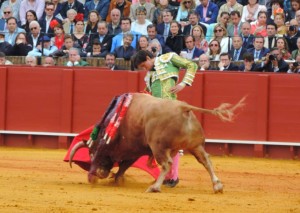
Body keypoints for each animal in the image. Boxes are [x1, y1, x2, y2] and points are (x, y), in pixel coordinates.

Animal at [70, 93, 246, 193]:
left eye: (91, 152)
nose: (101, 173)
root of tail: (183, 107)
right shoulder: (134, 151)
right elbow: (124, 166)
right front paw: (116, 179)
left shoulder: (126, 149)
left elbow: (122, 165)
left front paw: (105, 178)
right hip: (195, 146)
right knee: (206, 161)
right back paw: (217, 186)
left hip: (159, 147)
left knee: (167, 164)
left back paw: (155, 187)